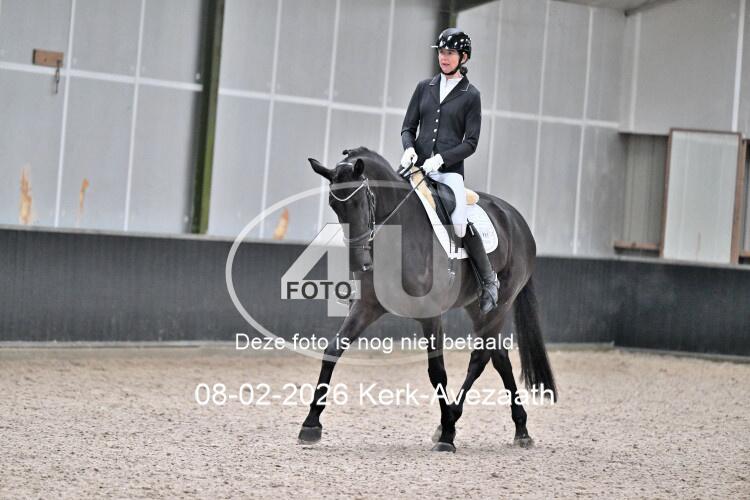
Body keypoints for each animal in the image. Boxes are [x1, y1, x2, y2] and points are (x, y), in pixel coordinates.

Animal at [298, 146, 556, 452]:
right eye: (333, 204)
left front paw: (447, 437)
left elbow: (437, 372)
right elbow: (332, 352)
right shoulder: (366, 307)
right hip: (477, 307)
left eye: (362, 201)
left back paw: (456, 422)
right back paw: (519, 428)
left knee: (480, 357)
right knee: (499, 356)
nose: (358, 263)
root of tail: (516, 219)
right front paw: (310, 424)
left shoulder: (430, 314)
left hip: (500, 304)